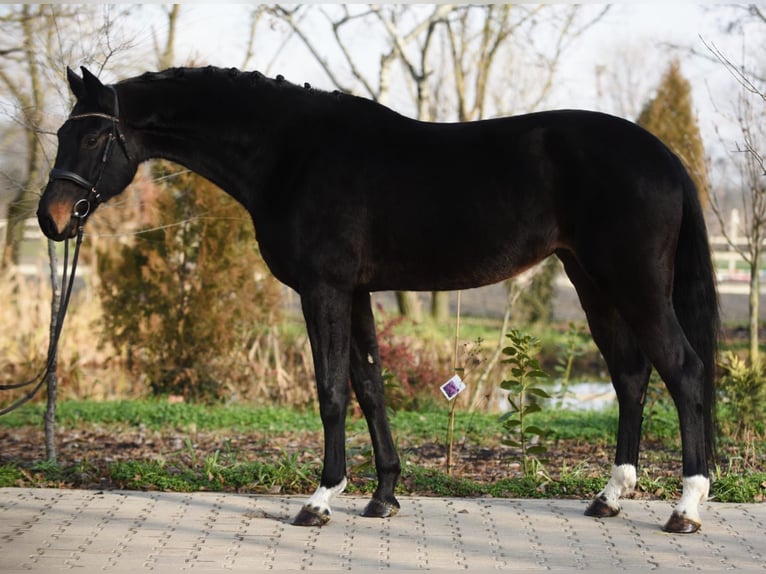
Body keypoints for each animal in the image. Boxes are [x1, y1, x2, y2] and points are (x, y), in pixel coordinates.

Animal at [36, 67, 720, 536]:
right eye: (64, 133)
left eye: (93, 139)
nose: (51, 218)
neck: (290, 152)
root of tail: (663, 157)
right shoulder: (357, 292)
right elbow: (370, 386)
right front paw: (382, 496)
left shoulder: (324, 290)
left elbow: (331, 390)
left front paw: (318, 501)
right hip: (593, 284)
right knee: (631, 377)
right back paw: (609, 496)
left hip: (633, 285)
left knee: (684, 372)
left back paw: (686, 507)